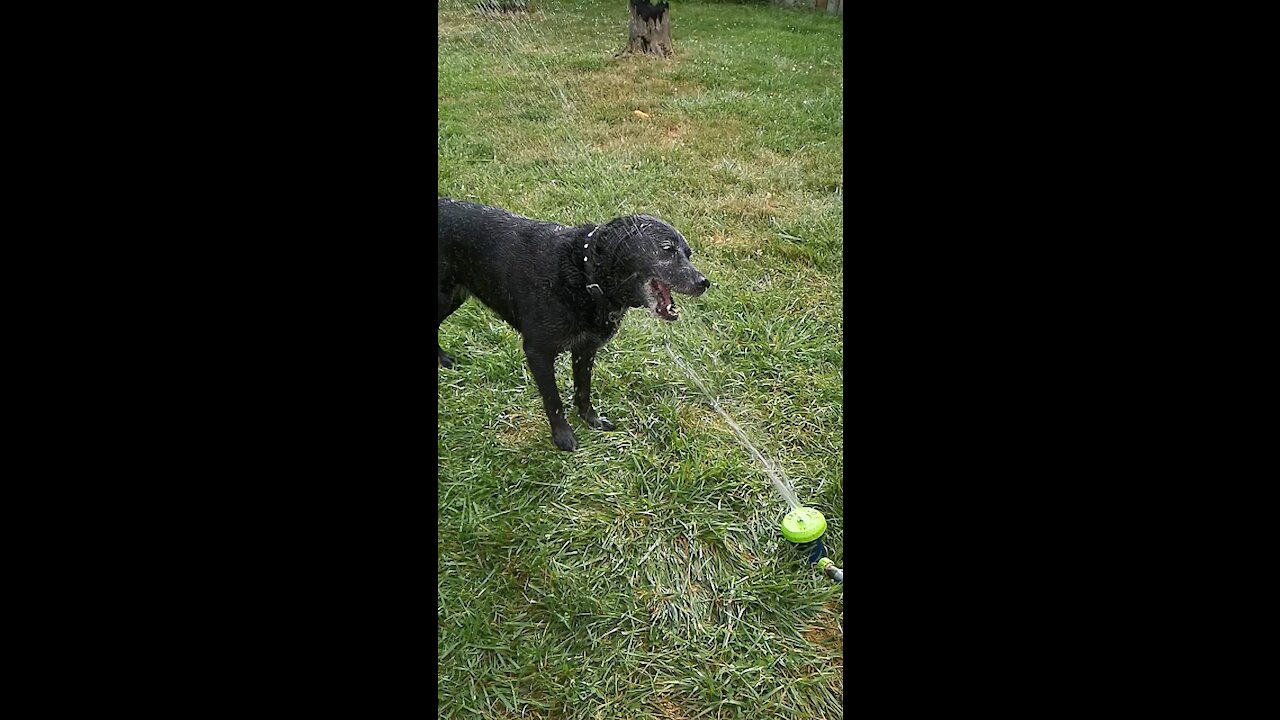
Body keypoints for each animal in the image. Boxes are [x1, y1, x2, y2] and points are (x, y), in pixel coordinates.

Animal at [435, 196, 706, 450]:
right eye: (667, 249)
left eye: (688, 253)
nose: (704, 282)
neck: (583, 276)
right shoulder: (537, 352)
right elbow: (553, 401)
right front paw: (563, 437)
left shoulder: (585, 349)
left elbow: (583, 390)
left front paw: (591, 420)